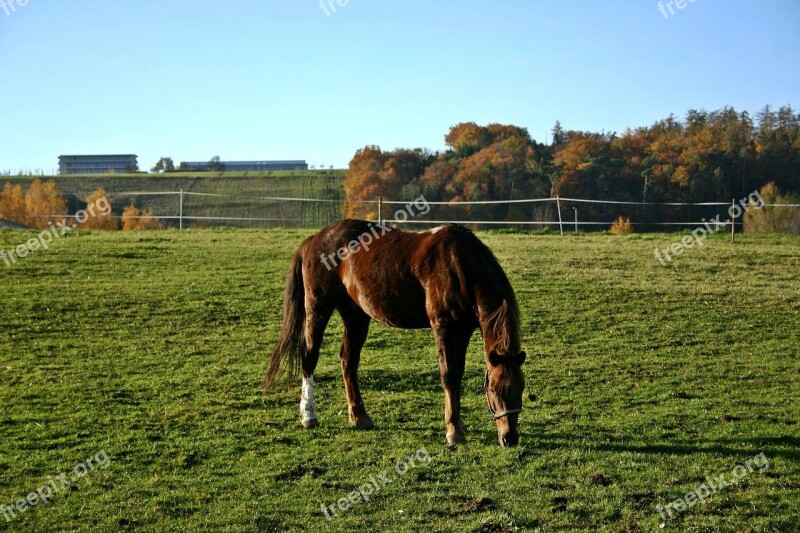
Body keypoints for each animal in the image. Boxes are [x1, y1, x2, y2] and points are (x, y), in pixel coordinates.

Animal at [260, 218, 524, 446]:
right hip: (318, 308)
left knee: (348, 361)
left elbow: (457, 374)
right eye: (494, 390)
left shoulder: (463, 330)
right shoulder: (443, 326)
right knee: (309, 357)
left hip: (356, 316)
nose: (509, 438)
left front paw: (457, 423)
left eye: (520, 388)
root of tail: (316, 239)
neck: (458, 264)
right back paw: (308, 416)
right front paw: (453, 430)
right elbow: (448, 375)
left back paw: (359, 416)